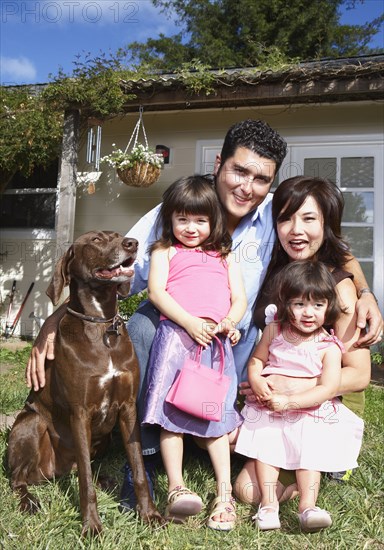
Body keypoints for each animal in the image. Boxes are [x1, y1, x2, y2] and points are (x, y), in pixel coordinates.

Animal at [8, 231, 162, 536]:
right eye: (96, 240)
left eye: (117, 236)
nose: (132, 243)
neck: (102, 325)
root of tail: (53, 474)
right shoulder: (80, 412)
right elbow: (85, 482)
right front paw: (91, 525)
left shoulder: (128, 409)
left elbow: (138, 467)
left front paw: (149, 514)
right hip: (31, 424)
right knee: (18, 480)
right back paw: (28, 501)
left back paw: (106, 480)